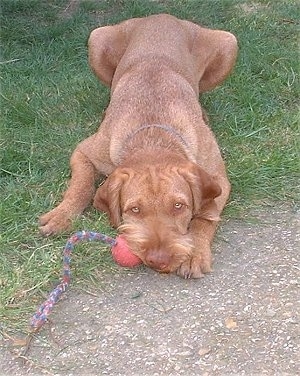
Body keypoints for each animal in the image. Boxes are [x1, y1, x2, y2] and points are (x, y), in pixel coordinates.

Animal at [39, 13, 237, 280]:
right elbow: (80, 185)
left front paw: (195, 251)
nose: (159, 260)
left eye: (179, 206)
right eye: (134, 209)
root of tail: (161, 16)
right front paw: (62, 215)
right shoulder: (84, 152)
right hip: (97, 40)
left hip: (228, 43)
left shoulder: (218, 178)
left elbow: (206, 215)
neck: (152, 136)